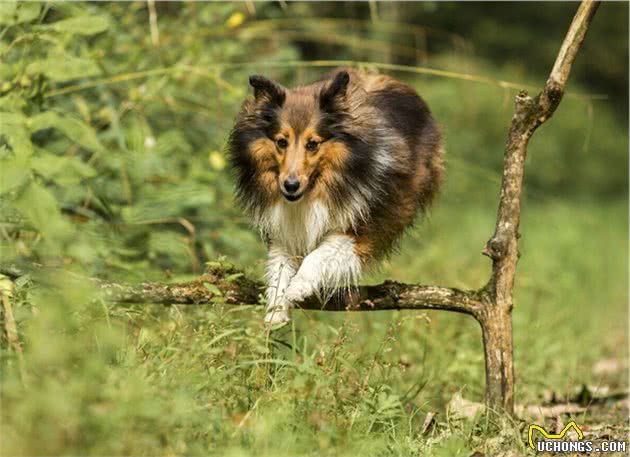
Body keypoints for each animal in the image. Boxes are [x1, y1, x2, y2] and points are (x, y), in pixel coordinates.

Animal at [228, 68, 444, 324]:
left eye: (312, 144)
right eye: (281, 141)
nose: (290, 186)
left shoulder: (361, 231)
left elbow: (320, 254)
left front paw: (298, 286)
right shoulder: (283, 230)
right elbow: (279, 265)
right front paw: (276, 308)